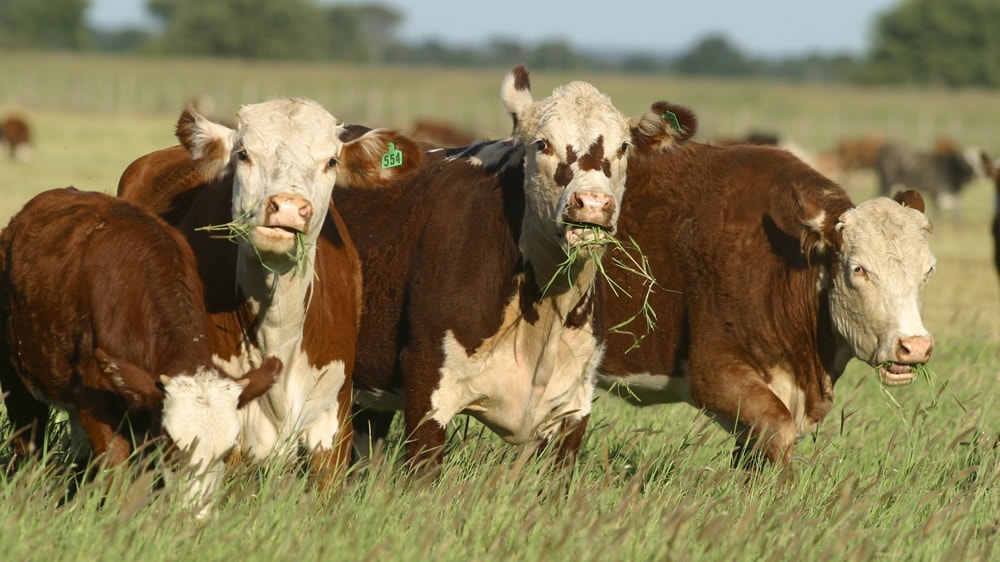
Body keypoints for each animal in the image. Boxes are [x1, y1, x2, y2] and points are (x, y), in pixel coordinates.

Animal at [0, 186, 282, 510]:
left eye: (226, 451)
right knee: (27, 447)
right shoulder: (97, 400)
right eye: (172, 444)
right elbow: (116, 472)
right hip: (16, 380)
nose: (192, 514)